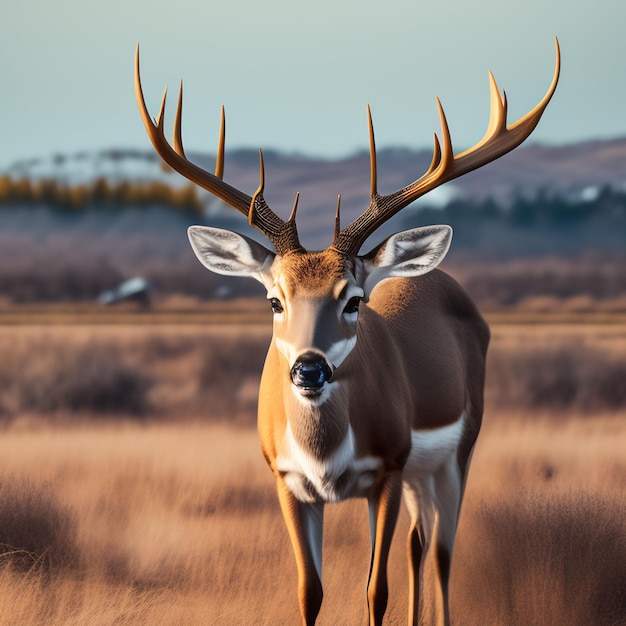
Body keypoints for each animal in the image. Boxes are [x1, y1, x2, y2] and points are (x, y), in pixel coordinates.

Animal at [134, 40, 560, 624]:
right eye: (274, 300)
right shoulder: (287, 481)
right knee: (419, 541)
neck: (325, 456)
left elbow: (374, 590)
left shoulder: (387, 470)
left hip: (457, 450)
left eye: (354, 300)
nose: (309, 369)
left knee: (443, 548)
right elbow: (309, 591)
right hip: (420, 473)